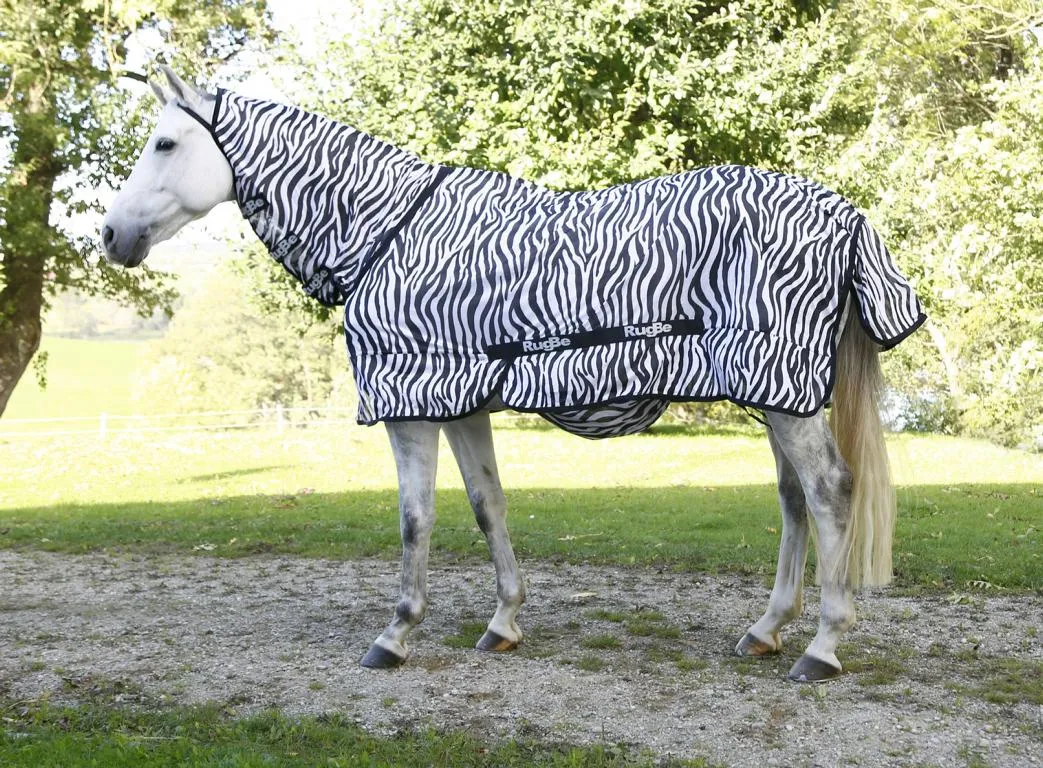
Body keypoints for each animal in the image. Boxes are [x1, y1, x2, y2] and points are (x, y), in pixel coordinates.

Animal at [102, 66, 926, 682]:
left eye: (166, 141)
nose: (110, 235)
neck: (387, 233)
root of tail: (845, 214)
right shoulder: (461, 401)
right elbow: (486, 505)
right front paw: (503, 622)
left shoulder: (410, 405)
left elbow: (415, 519)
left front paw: (395, 635)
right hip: (773, 390)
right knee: (793, 499)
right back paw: (766, 629)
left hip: (784, 395)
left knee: (829, 492)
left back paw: (822, 647)